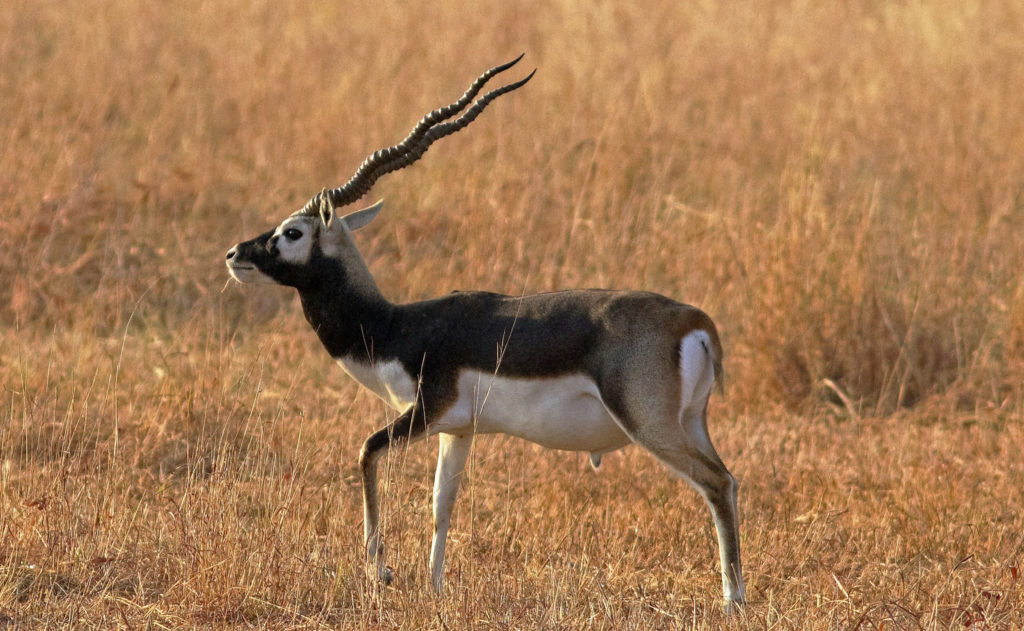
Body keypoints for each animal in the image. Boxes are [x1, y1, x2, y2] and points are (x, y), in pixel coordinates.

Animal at [226, 56, 745, 610]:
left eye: (292, 232)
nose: (235, 254)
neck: (394, 326)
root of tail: (696, 322)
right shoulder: (457, 430)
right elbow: (441, 504)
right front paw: (433, 588)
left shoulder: (424, 412)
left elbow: (366, 451)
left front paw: (380, 572)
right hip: (691, 423)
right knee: (730, 480)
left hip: (650, 425)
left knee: (717, 482)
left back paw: (733, 598)